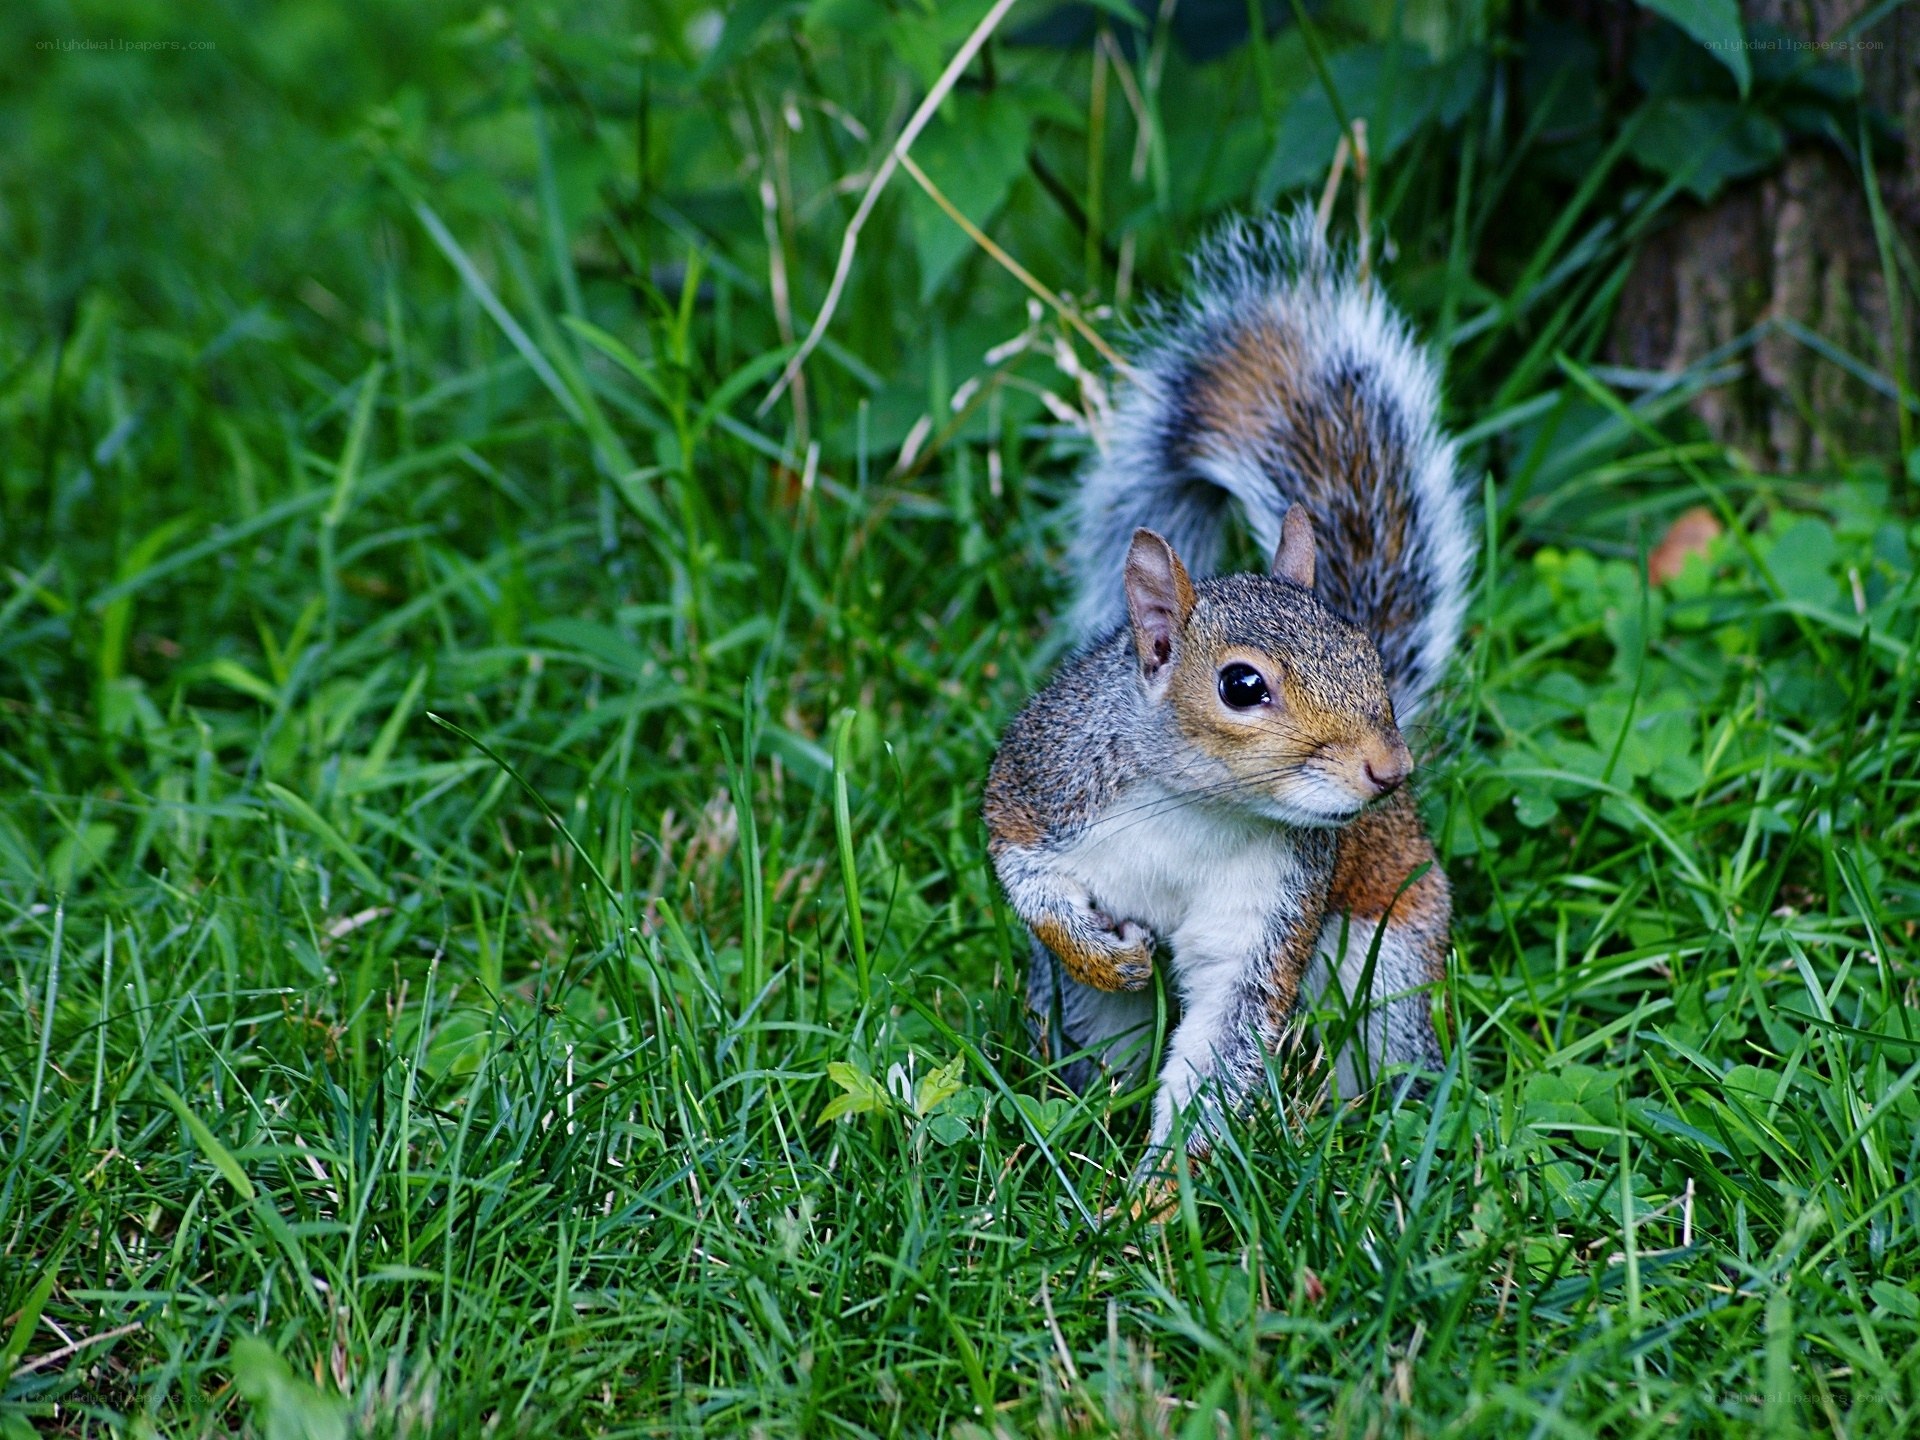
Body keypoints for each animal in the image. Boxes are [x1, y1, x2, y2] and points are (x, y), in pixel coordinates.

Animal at [983, 209, 1475, 1170]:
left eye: (1366, 653)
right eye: (1242, 685)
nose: (1388, 770)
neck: (1195, 806)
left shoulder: (1270, 908)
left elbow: (1224, 1039)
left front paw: (1155, 1194)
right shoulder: (1040, 784)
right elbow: (1025, 876)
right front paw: (1104, 954)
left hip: (1390, 954)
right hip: (1086, 1017)